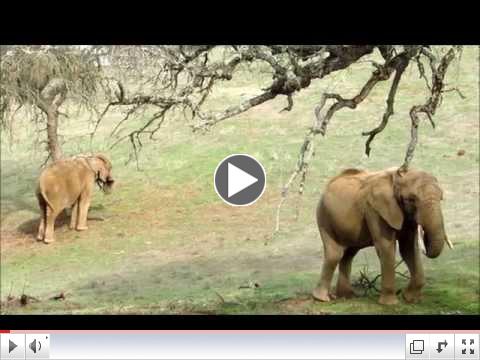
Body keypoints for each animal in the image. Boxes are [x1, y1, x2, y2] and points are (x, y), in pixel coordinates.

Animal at [314, 167, 452, 306]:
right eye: (411, 199)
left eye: (441, 198)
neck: (396, 178)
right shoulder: (375, 210)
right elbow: (386, 246)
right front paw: (390, 303)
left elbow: (409, 249)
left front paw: (410, 299)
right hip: (324, 217)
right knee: (335, 254)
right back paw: (322, 298)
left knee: (349, 254)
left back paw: (347, 296)